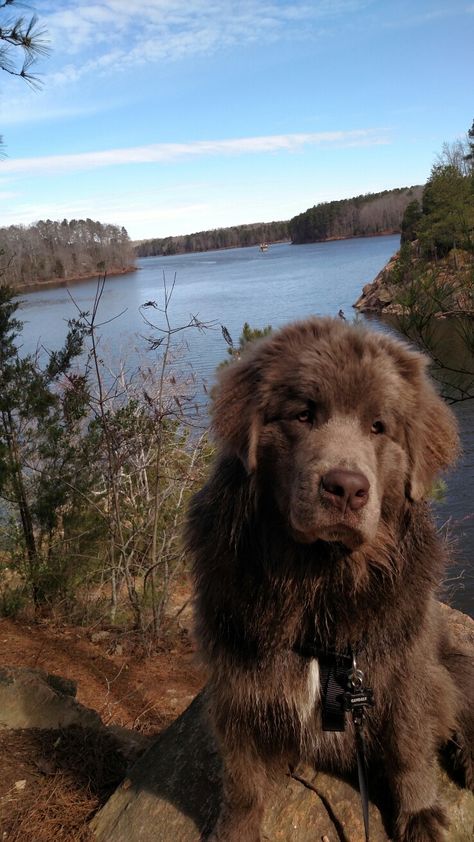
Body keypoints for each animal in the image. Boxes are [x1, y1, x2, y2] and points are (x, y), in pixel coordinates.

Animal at [186, 316, 474, 840]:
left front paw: (420, 814)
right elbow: (242, 778)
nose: (346, 488)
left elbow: (409, 747)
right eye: (303, 415)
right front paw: (235, 830)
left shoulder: (403, 669)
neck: (319, 581)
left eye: (379, 427)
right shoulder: (238, 684)